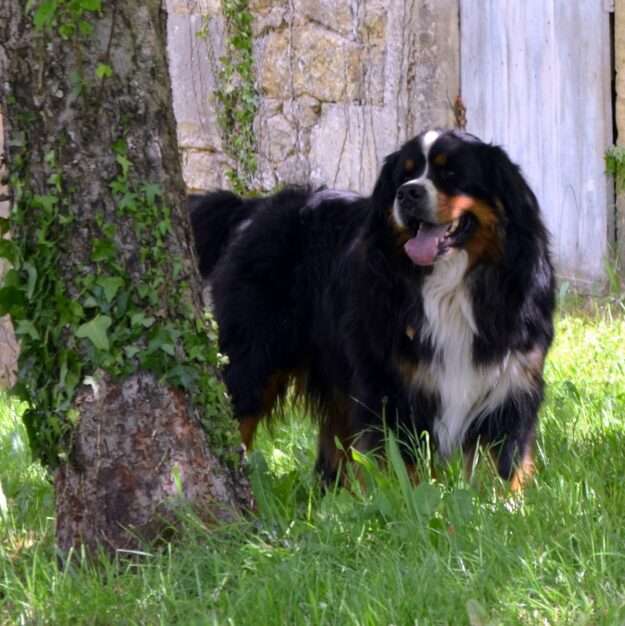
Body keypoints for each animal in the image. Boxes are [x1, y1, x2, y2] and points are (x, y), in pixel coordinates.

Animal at [191, 127, 556, 488]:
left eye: (451, 173)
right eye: (403, 175)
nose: (407, 194)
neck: (450, 286)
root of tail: (255, 205)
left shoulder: (510, 383)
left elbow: (504, 467)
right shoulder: (389, 386)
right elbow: (402, 468)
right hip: (253, 357)